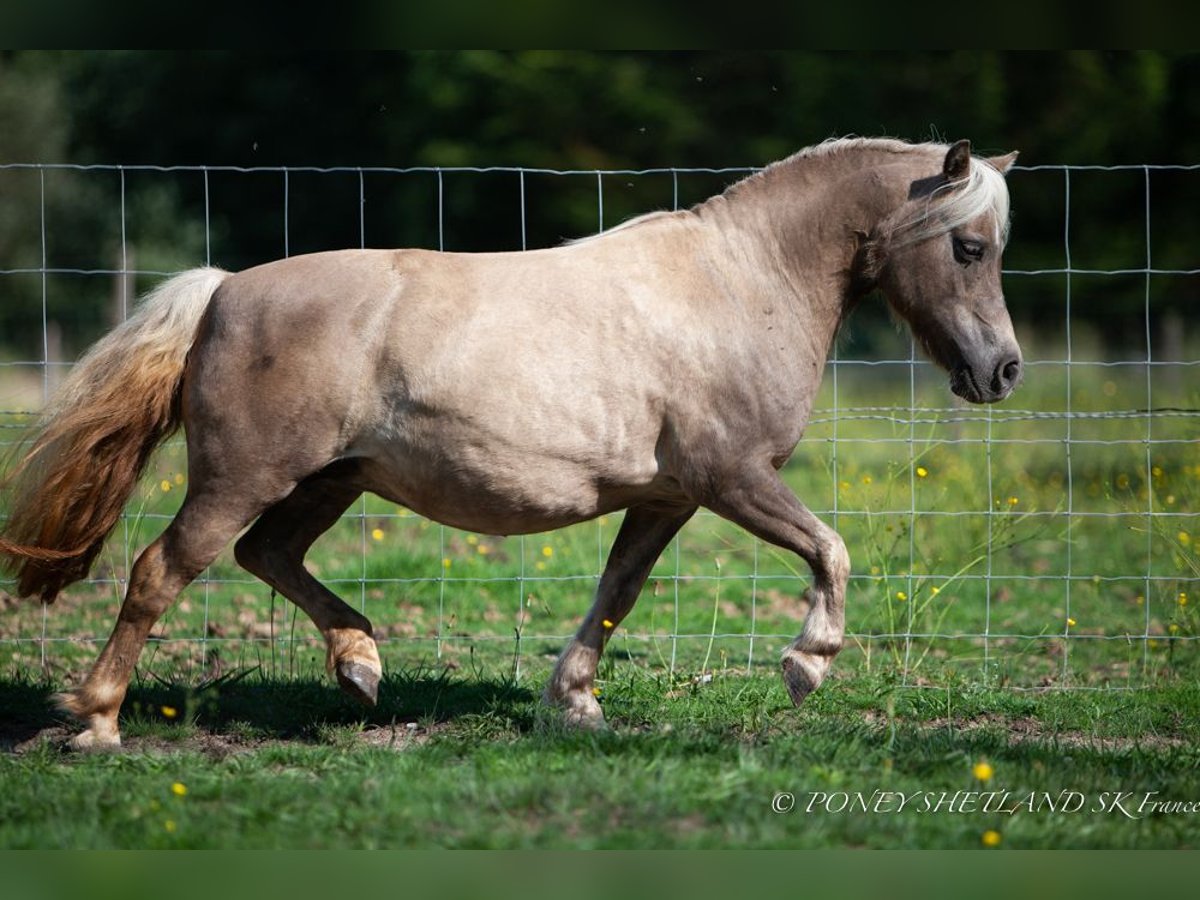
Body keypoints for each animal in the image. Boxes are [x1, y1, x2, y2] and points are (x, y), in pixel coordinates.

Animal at [2, 139, 1022, 748]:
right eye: (970, 247)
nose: (1004, 370)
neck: (742, 285)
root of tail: (223, 289)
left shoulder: (668, 497)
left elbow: (618, 594)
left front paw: (575, 703)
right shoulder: (733, 477)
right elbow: (832, 551)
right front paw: (807, 663)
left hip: (331, 481)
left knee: (269, 555)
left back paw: (361, 666)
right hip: (243, 478)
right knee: (160, 573)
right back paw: (96, 722)